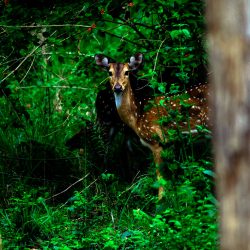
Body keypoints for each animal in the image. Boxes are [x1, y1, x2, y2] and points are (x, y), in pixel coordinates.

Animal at [94, 53, 210, 199]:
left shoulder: (156, 140)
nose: (118, 87)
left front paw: (160, 200)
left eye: (127, 72)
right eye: (110, 72)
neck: (137, 117)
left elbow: (159, 177)